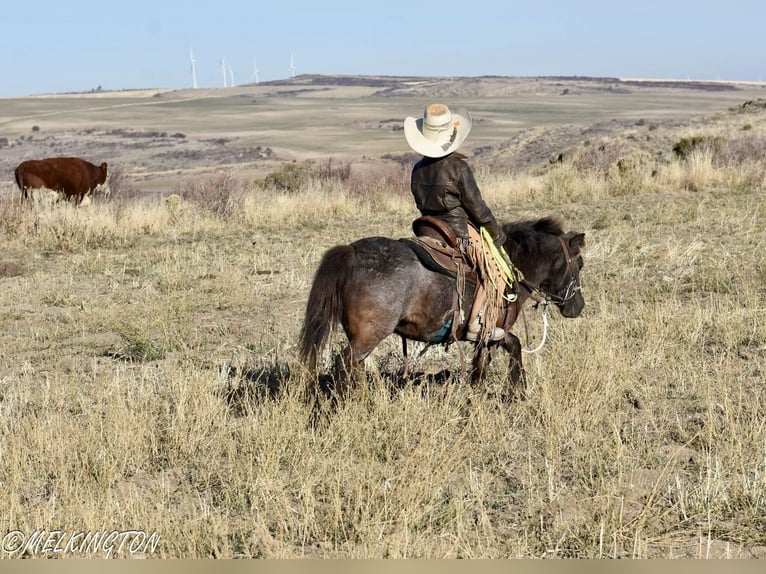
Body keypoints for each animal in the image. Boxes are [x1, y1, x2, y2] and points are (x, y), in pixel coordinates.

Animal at [300, 218, 588, 402]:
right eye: (581, 264)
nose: (578, 306)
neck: (510, 265)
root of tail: (350, 252)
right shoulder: (495, 330)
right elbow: (511, 349)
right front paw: (516, 390)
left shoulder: (488, 335)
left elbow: (484, 361)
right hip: (368, 335)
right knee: (344, 364)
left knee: (354, 367)